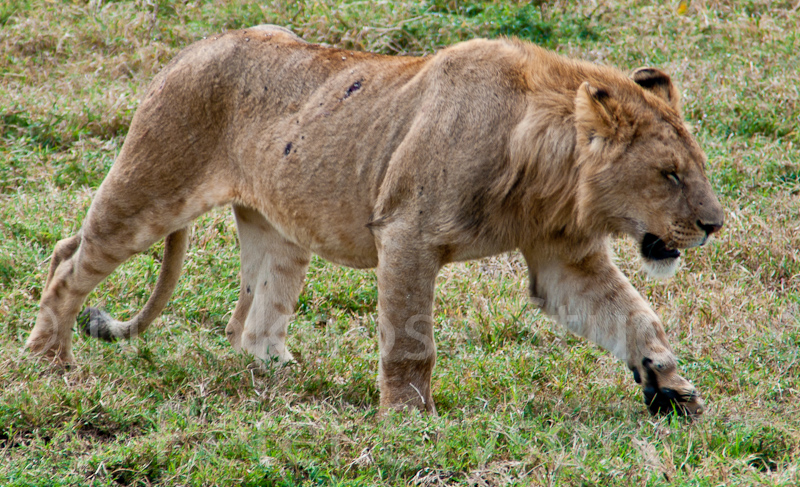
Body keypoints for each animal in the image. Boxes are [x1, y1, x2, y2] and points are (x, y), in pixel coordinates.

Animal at [27, 25, 724, 416]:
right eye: (669, 174)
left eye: (695, 167)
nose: (715, 225)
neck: (546, 173)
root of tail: (187, 52)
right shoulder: (407, 233)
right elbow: (411, 342)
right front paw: (407, 421)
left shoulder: (563, 259)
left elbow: (635, 317)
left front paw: (671, 388)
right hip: (150, 189)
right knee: (67, 260)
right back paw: (48, 363)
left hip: (280, 232)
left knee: (251, 322)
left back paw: (288, 377)